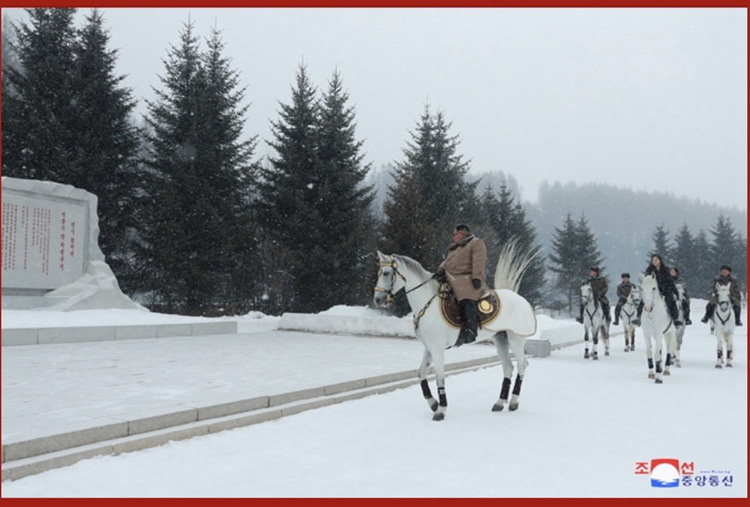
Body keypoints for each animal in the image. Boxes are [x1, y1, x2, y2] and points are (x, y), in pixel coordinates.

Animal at [373, 241, 538, 421]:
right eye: (379, 272)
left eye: (386, 273)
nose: (377, 300)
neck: (427, 303)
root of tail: (520, 299)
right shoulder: (429, 347)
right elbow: (421, 373)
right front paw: (434, 403)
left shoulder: (437, 349)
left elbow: (439, 377)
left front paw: (441, 410)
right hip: (500, 339)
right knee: (508, 367)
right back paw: (500, 403)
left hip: (516, 340)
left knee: (522, 364)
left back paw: (514, 402)